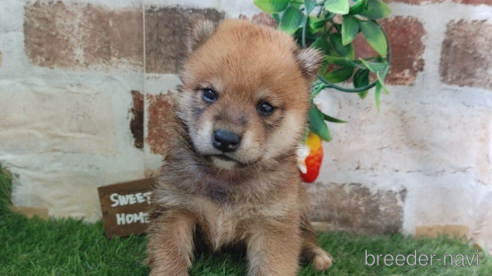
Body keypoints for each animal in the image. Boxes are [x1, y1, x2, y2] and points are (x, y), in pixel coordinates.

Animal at [146, 15, 334, 276]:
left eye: (265, 107)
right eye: (209, 93)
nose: (225, 139)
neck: (227, 179)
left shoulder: (274, 222)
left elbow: (273, 265)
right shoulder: (175, 209)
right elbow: (171, 258)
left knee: (307, 236)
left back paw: (318, 255)